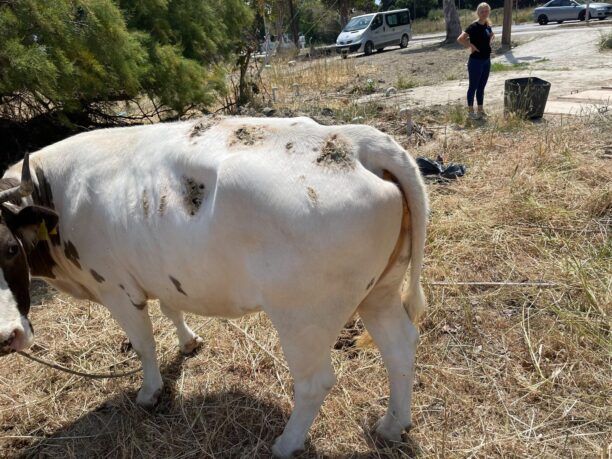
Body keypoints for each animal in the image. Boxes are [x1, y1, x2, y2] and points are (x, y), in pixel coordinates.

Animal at [0, 117, 428, 458]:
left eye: (10, 248)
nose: (8, 337)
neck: (55, 192)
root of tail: (354, 141)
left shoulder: (117, 289)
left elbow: (144, 344)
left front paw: (149, 392)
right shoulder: (162, 271)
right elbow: (171, 308)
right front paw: (188, 342)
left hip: (304, 315)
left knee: (315, 382)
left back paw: (286, 443)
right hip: (380, 290)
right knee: (400, 347)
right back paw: (392, 425)